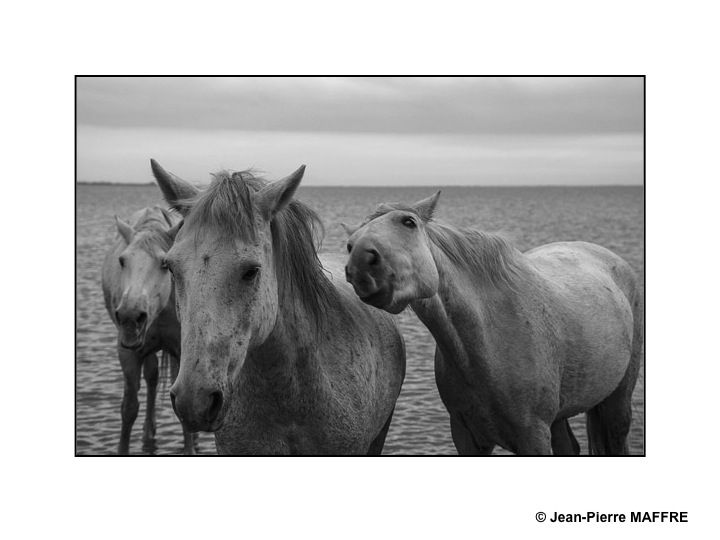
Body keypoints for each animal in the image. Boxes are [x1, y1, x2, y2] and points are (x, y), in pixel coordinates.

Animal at [346, 192, 644, 454]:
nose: (360, 262)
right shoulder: (466, 438)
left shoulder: (533, 436)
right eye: (349, 243)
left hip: (617, 401)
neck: (489, 342)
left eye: (409, 222)